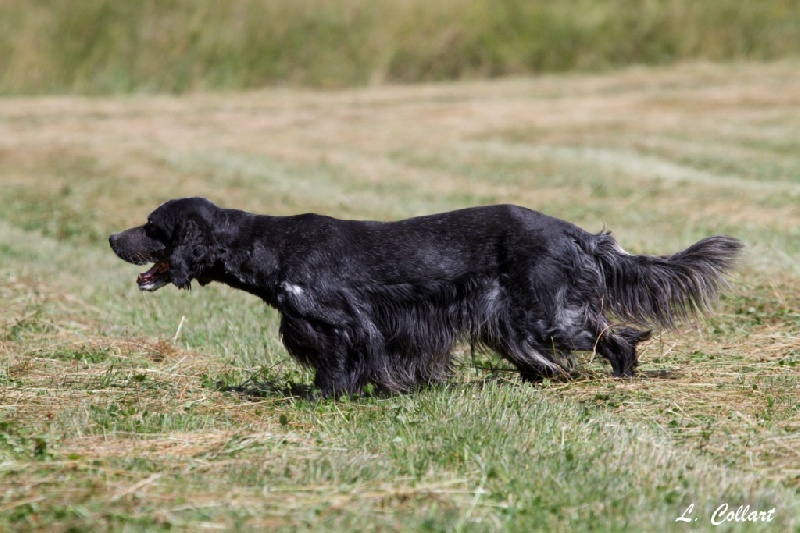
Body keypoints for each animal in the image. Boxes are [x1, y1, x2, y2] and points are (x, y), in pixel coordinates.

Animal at [109, 198, 740, 394]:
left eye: (153, 226)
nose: (112, 237)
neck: (266, 245)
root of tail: (576, 233)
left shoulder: (341, 322)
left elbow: (339, 367)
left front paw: (325, 398)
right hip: (512, 320)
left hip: (550, 312)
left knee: (618, 338)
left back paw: (622, 382)